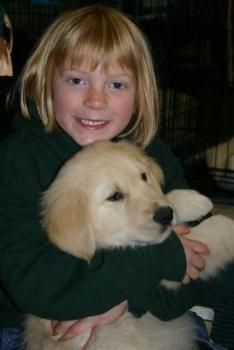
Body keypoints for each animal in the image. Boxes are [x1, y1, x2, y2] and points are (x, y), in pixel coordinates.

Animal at [25, 140, 234, 350]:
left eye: (144, 176)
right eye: (115, 196)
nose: (165, 215)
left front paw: (192, 201)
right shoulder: (164, 274)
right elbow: (212, 230)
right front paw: (228, 227)